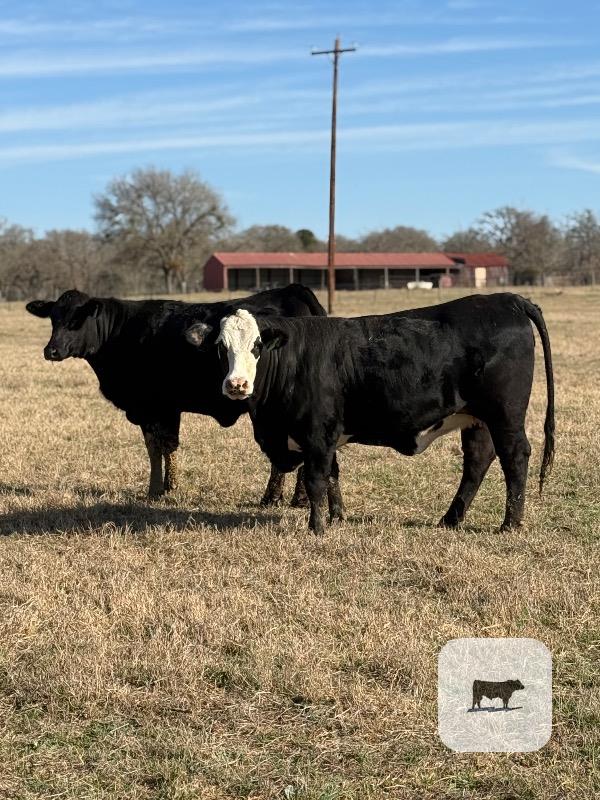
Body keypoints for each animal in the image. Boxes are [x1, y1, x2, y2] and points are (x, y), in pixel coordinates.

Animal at [26, 284, 325, 504]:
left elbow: (162, 446)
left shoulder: (156, 408)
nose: (51, 350)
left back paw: (280, 497)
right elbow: (158, 447)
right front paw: (162, 487)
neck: (122, 332)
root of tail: (293, 289)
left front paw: (162, 488)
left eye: (76, 319)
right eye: (53, 318)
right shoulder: (156, 410)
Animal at [185, 293, 555, 534]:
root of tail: (506, 299)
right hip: (477, 419)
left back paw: (510, 524)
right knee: (478, 460)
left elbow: (316, 479)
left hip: (505, 414)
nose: (237, 384)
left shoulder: (317, 434)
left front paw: (317, 528)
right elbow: (333, 476)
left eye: (257, 345)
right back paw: (451, 519)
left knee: (514, 457)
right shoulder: (326, 436)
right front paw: (337, 517)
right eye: (221, 347)